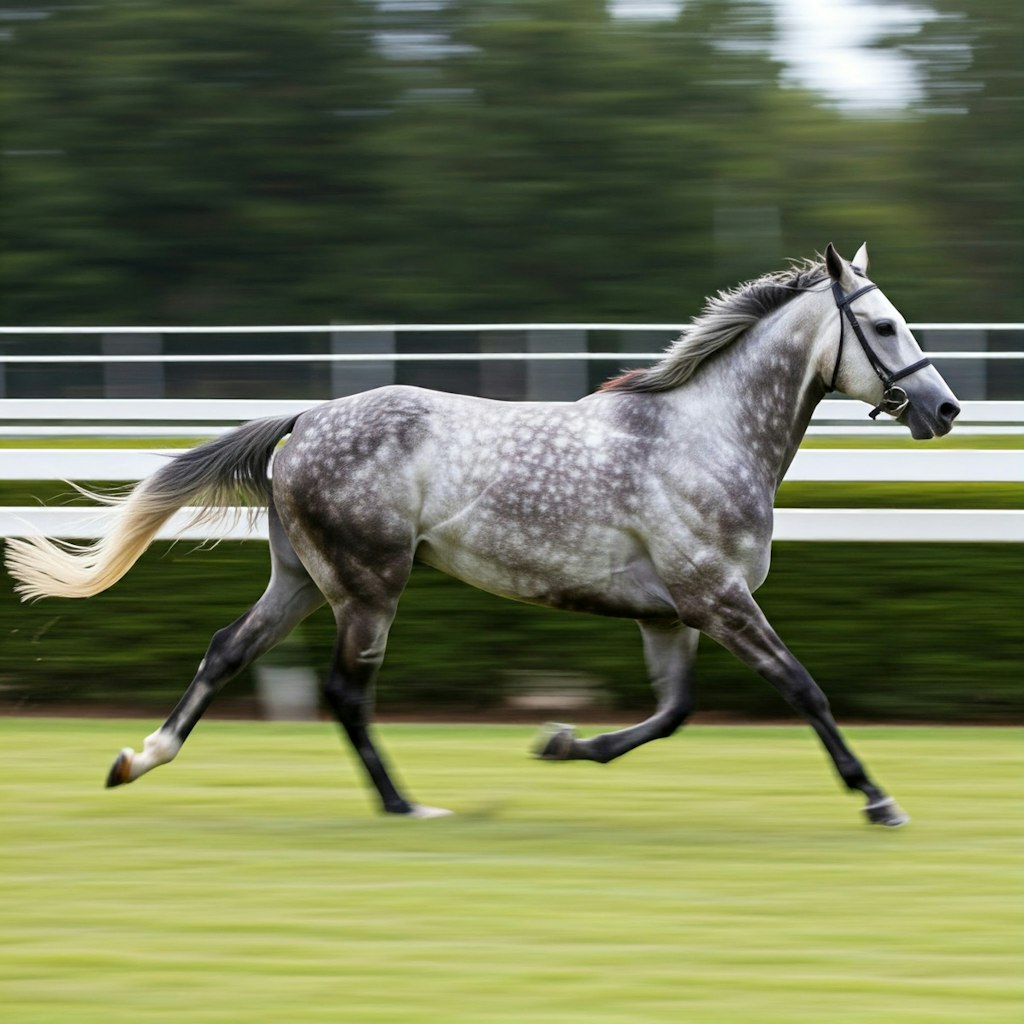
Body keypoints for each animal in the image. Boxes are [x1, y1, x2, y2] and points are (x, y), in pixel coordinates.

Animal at [4, 245, 958, 823]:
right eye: (884, 325)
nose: (945, 408)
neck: (702, 433)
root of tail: (304, 417)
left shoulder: (669, 614)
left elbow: (671, 714)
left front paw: (565, 742)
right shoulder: (717, 598)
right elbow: (803, 689)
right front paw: (876, 798)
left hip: (303, 579)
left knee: (226, 650)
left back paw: (139, 757)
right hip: (370, 586)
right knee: (346, 693)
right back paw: (404, 805)